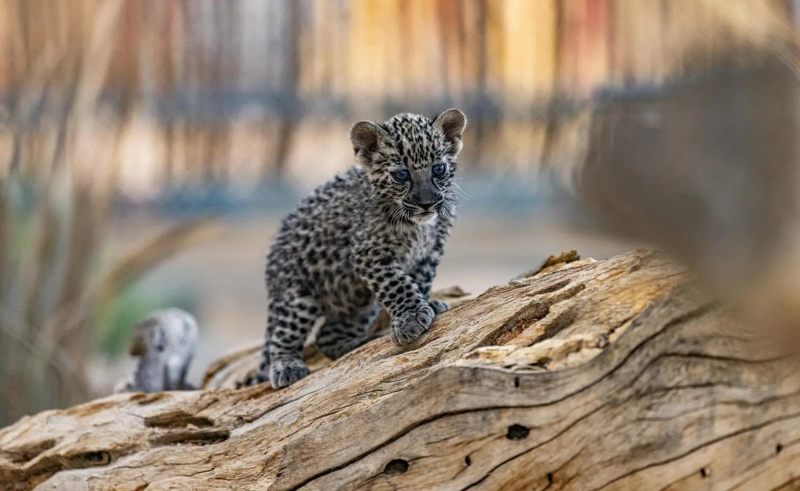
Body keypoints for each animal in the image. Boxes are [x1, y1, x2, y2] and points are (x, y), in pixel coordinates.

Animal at [255, 108, 467, 388]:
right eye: (401, 175)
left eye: (439, 169)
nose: (427, 203)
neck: (419, 226)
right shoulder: (369, 254)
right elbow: (397, 284)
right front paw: (410, 317)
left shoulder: (430, 253)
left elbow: (419, 281)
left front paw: (426, 306)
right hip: (297, 296)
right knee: (281, 337)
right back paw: (286, 366)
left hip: (360, 305)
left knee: (326, 337)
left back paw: (359, 344)